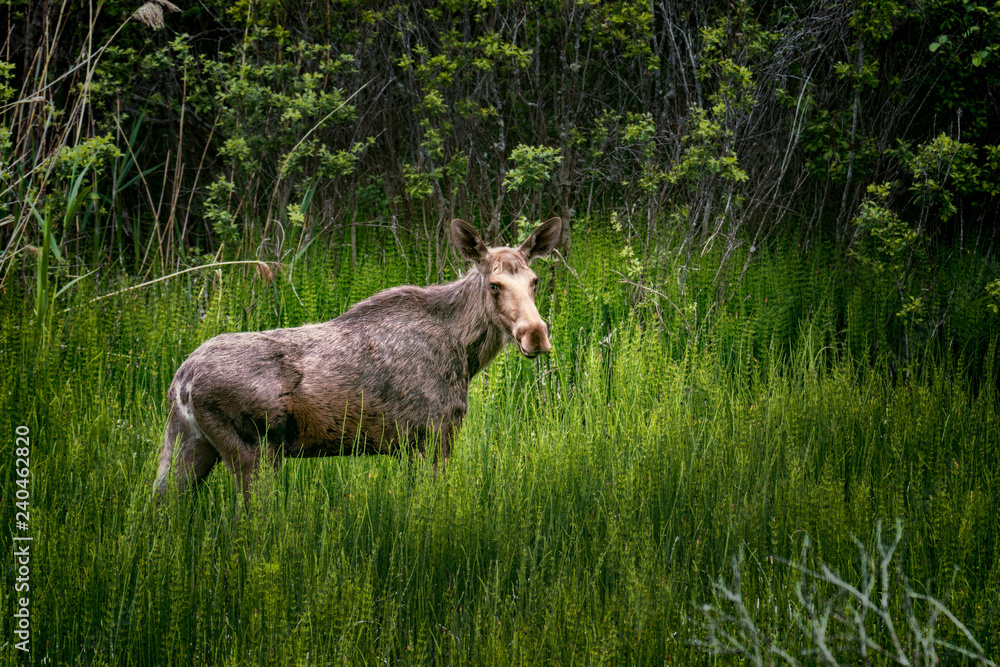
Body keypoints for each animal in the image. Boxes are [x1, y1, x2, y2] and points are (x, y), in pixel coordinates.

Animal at [154, 217, 562, 501]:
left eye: (535, 280)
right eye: (494, 285)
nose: (536, 335)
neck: (464, 352)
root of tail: (182, 379)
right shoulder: (433, 435)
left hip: (188, 442)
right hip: (254, 450)